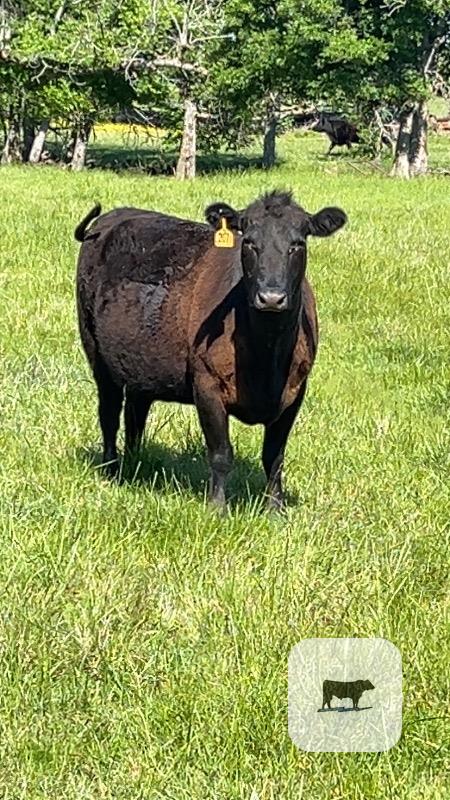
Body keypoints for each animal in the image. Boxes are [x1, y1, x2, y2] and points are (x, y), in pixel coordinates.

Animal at [75, 191, 347, 510]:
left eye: (298, 244)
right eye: (249, 242)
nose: (271, 297)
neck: (267, 355)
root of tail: (110, 217)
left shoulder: (295, 392)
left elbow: (274, 457)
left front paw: (275, 509)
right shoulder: (207, 386)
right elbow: (221, 454)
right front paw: (217, 507)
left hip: (140, 361)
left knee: (135, 413)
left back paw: (135, 464)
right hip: (97, 355)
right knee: (109, 413)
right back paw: (111, 469)